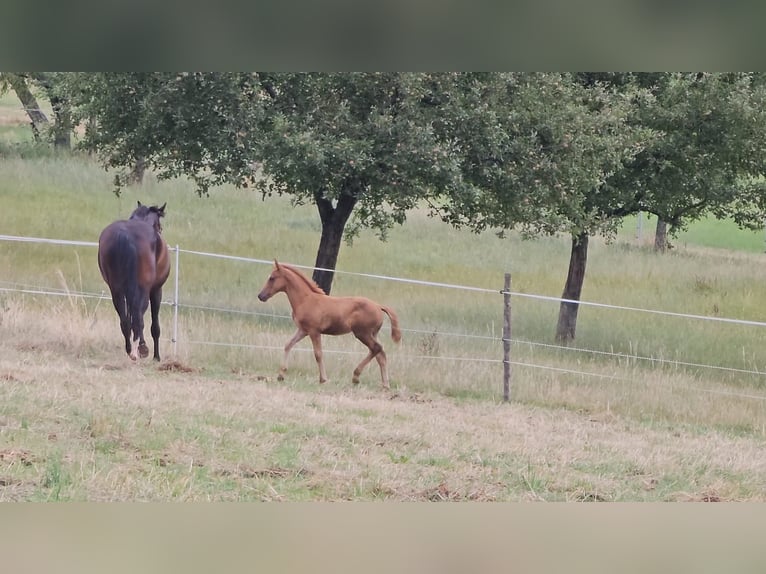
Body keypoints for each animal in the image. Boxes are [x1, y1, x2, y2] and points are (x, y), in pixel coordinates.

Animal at [98, 202, 170, 362]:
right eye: (159, 225)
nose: (161, 230)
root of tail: (124, 235)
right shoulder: (156, 290)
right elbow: (154, 325)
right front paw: (156, 357)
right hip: (143, 289)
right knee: (138, 316)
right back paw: (142, 349)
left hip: (116, 289)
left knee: (125, 320)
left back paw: (130, 349)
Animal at [256, 262, 402, 392]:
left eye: (272, 278)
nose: (260, 296)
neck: (306, 299)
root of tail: (378, 306)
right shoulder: (303, 330)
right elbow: (288, 345)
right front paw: (281, 375)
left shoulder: (314, 331)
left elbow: (318, 354)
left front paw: (323, 379)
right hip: (372, 334)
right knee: (380, 354)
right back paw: (385, 385)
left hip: (362, 333)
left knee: (377, 349)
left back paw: (356, 376)